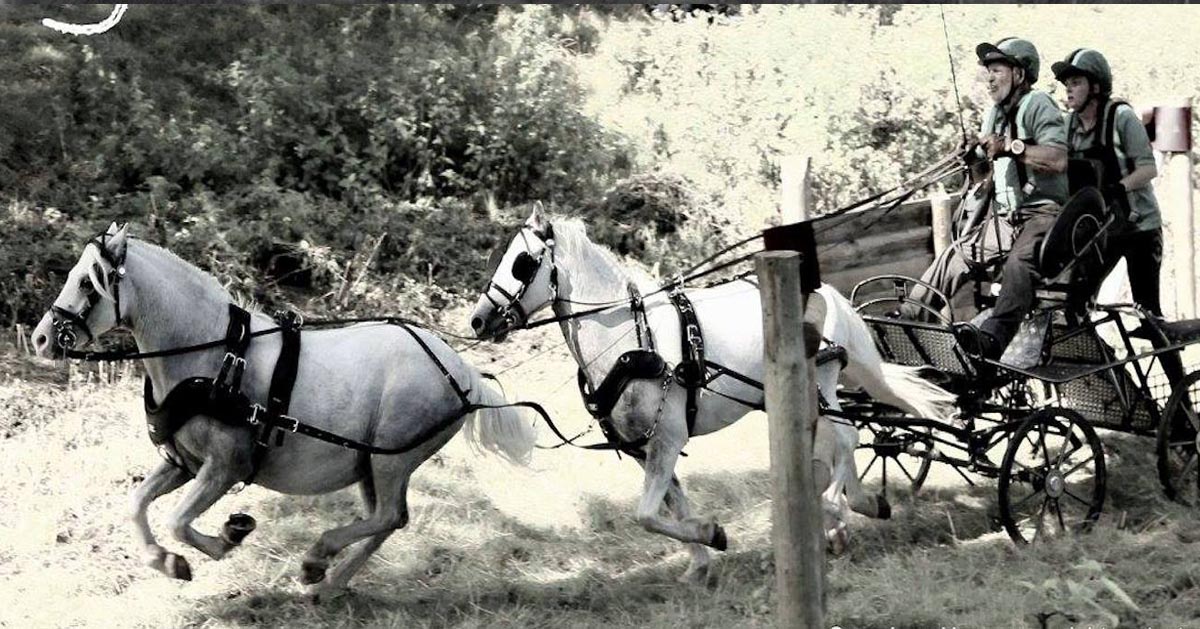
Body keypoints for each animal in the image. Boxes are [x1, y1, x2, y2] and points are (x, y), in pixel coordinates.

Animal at [29, 223, 535, 597]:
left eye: (87, 281)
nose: (40, 338)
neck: (214, 356)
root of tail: (462, 371)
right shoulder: (183, 462)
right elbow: (136, 505)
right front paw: (167, 562)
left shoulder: (224, 468)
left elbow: (176, 520)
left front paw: (226, 538)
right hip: (371, 465)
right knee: (388, 520)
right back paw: (328, 584)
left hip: (392, 459)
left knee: (388, 516)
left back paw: (316, 561)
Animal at [468, 208, 955, 583]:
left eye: (522, 263)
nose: (478, 320)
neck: (629, 340)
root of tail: (830, 292)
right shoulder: (646, 448)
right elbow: (670, 506)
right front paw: (701, 559)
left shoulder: (668, 438)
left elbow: (646, 514)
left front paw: (711, 535)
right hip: (792, 392)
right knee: (836, 440)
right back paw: (853, 509)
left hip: (824, 376)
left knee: (846, 437)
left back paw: (838, 506)